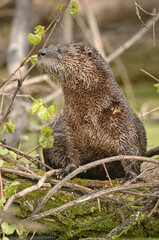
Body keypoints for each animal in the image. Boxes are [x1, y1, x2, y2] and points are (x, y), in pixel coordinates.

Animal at [37, 41, 147, 180]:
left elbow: (131, 153)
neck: (91, 117)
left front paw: (130, 176)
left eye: (60, 50)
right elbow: (72, 154)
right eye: (51, 45)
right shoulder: (71, 132)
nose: (40, 52)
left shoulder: (124, 125)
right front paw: (66, 171)